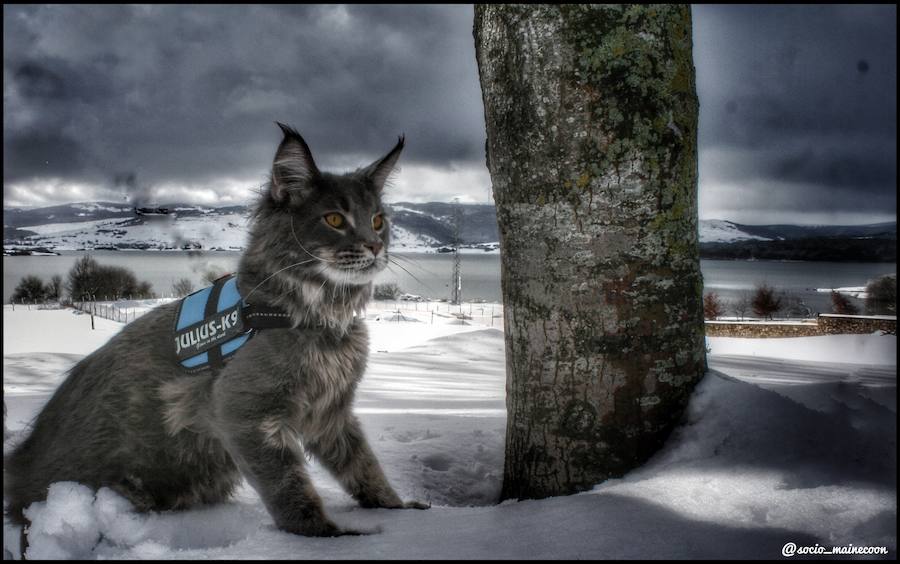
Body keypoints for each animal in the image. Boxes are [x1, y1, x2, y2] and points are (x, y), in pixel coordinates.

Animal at [6, 122, 428, 536]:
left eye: (378, 221)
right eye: (335, 219)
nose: (375, 246)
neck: (319, 318)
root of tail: (19, 465)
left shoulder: (332, 412)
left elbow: (364, 466)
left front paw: (396, 508)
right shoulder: (241, 411)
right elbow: (288, 483)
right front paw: (323, 533)